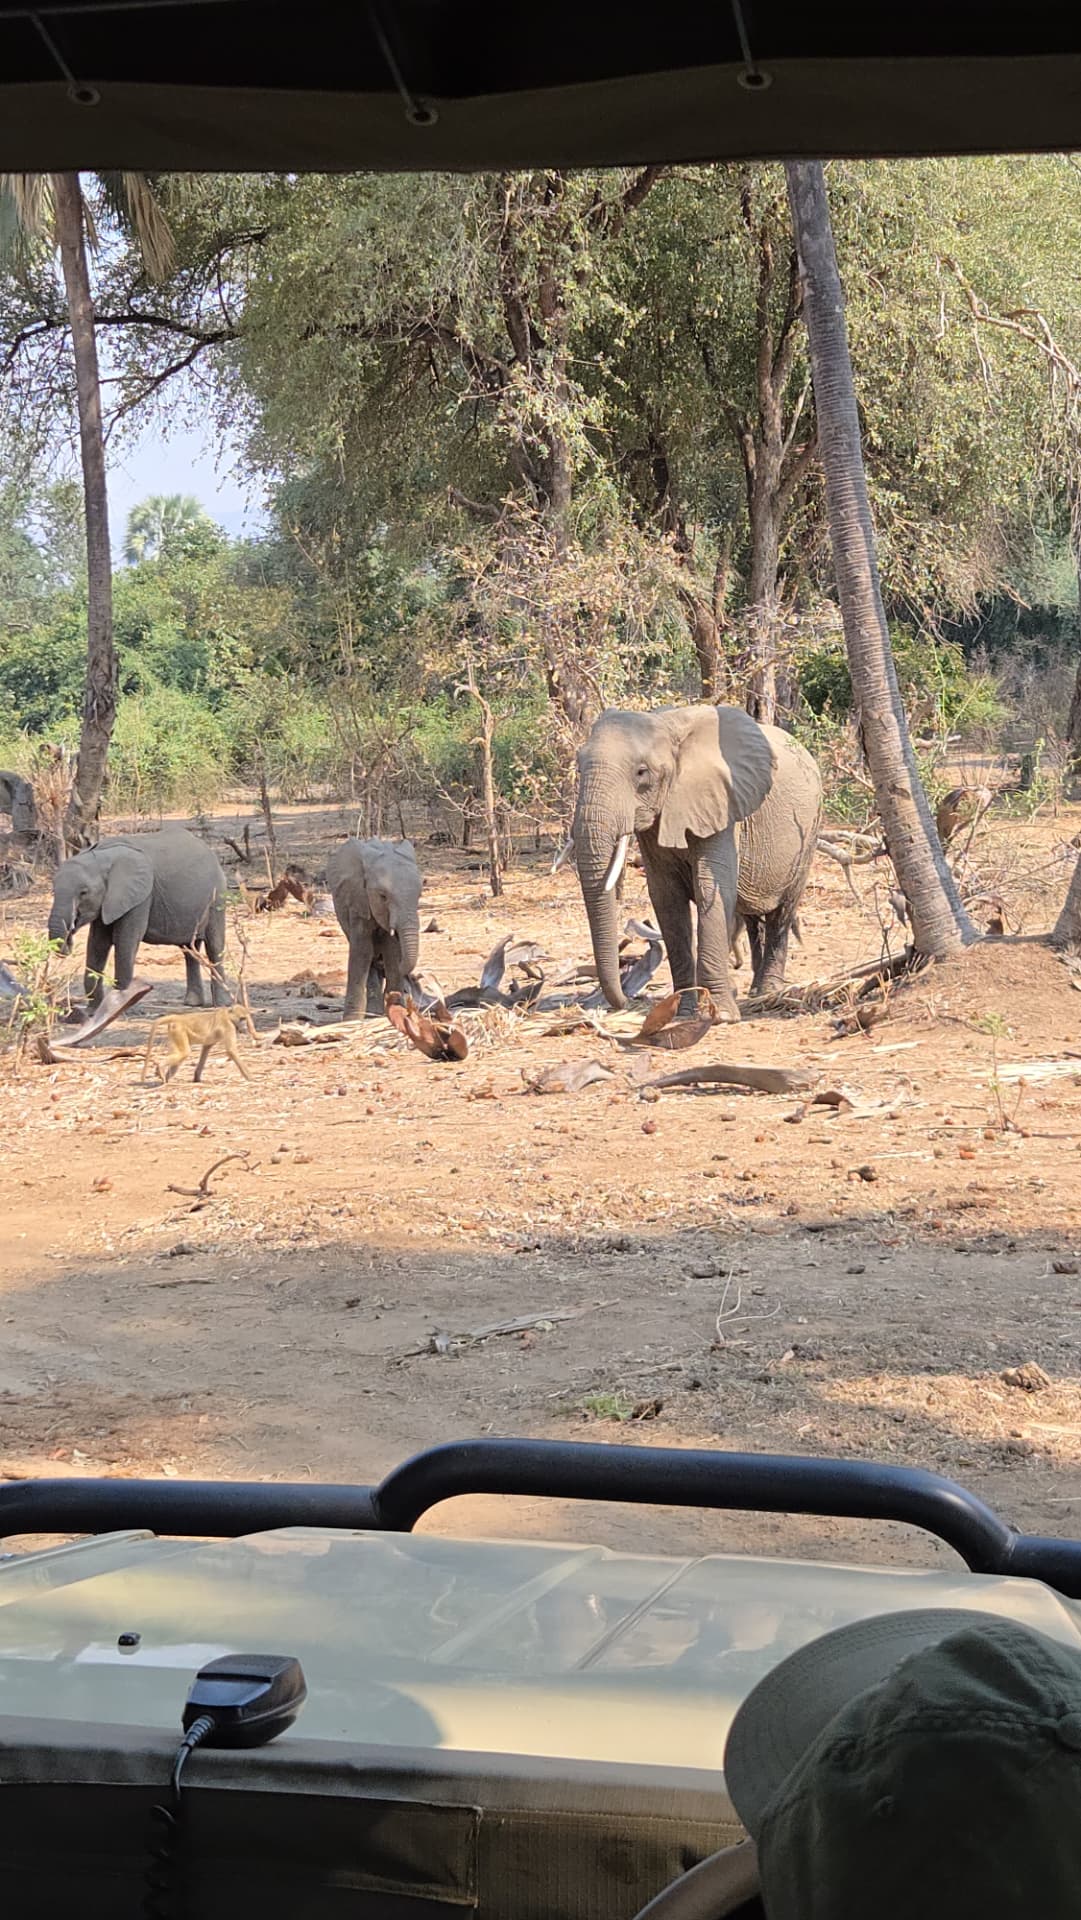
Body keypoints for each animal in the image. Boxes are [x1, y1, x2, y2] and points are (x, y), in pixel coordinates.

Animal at [47, 826, 230, 1008]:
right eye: (53, 890)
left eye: (83, 893)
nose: (69, 939)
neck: (103, 857)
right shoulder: (109, 902)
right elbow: (97, 944)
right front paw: (93, 1011)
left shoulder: (140, 898)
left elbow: (125, 942)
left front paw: (117, 1008)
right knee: (189, 950)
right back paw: (193, 1003)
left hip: (217, 897)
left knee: (214, 947)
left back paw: (221, 1005)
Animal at [325, 837, 423, 1020]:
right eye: (383, 896)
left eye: (419, 895)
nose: (414, 978)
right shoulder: (357, 901)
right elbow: (363, 951)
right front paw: (351, 1020)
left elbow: (391, 950)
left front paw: (397, 1011)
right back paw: (373, 1014)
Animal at [571, 704, 822, 1019]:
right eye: (579, 768)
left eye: (641, 773)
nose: (624, 1002)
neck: (666, 727)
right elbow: (666, 897)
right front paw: (684, 1011)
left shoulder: (722, 803)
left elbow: (711, 887)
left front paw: (721, 1015)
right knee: (752, 915)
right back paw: (754, 990)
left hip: (808, 832)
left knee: (782, 910)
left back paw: (768, 990)